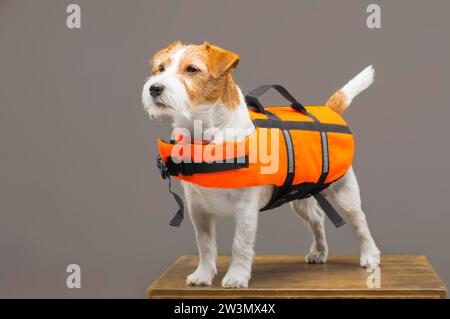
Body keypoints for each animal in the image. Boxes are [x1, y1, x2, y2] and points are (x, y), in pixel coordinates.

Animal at [141, 41, 380, 288]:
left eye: (191, 69)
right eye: (160, 68)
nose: (154, 88)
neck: (207, 137)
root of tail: (329, 110)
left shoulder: (245, 210)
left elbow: (240, 244)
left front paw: (236, 276)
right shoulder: (199, 211)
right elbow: (205, 245)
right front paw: (203, 274)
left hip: (343, 193)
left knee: (360, 222)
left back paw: (370, 256)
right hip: (300, 197)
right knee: (317, 218)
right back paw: (319, 252)